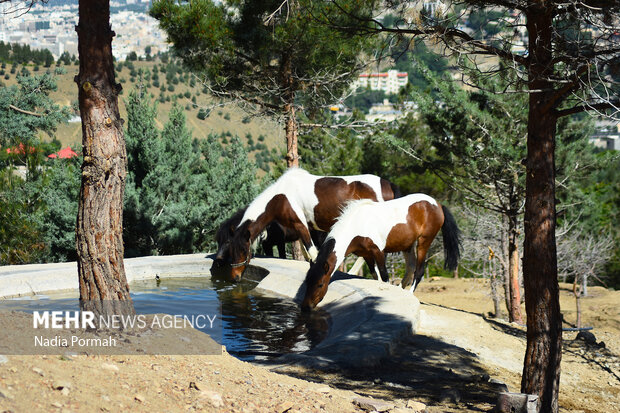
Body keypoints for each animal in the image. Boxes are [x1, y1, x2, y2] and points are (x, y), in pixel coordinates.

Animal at [229, 167, 402, 280]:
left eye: (243, 250)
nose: (235, 277)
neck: (281, 197)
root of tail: (388, 184)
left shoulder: (300, 225)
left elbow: (312, 252)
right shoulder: (310, 229)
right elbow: (311, 255)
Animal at [300, 195, 460, 310]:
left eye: (320, 284)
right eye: (307, 281)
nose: (306, 307)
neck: (358, 224)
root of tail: (437, 204)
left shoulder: (379, 252)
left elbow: (384, 276)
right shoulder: (366, 255)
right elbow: (375, 275)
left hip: (423, 242)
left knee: (419, 271)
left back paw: (409, 293)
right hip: (408, 245)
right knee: (410, 268)